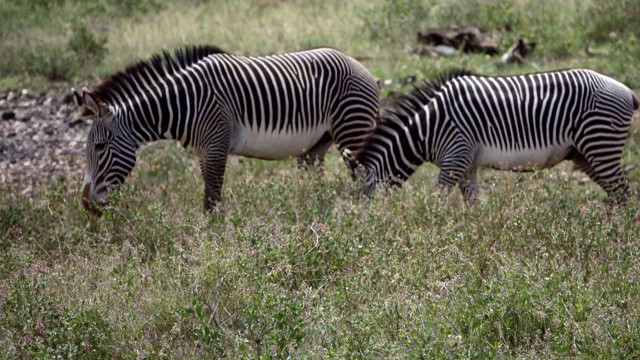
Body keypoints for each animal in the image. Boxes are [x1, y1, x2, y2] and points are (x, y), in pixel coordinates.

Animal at [77, 44, 382, 214]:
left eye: (99, 147)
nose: (86, 204)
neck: (183, 103)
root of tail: (360, 65)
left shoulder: (215, 146)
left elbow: (211, 200)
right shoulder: (204, 151)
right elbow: (210, 197)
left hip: (352, 128)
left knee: (368, 177)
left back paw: (365, 220)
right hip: (319, 142)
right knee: (317, 177)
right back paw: (313, 210)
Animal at [344, 68, 640, 204]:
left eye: (365, 197)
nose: (365, 229)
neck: (426, 130)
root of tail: (627, 90)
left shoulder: (455, 157)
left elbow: (438, 200)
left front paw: (430, 228)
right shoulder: (466, 164)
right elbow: (473, 202)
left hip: (600, 143)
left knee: (625, 195)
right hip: (585, 154)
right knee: (618, 195)